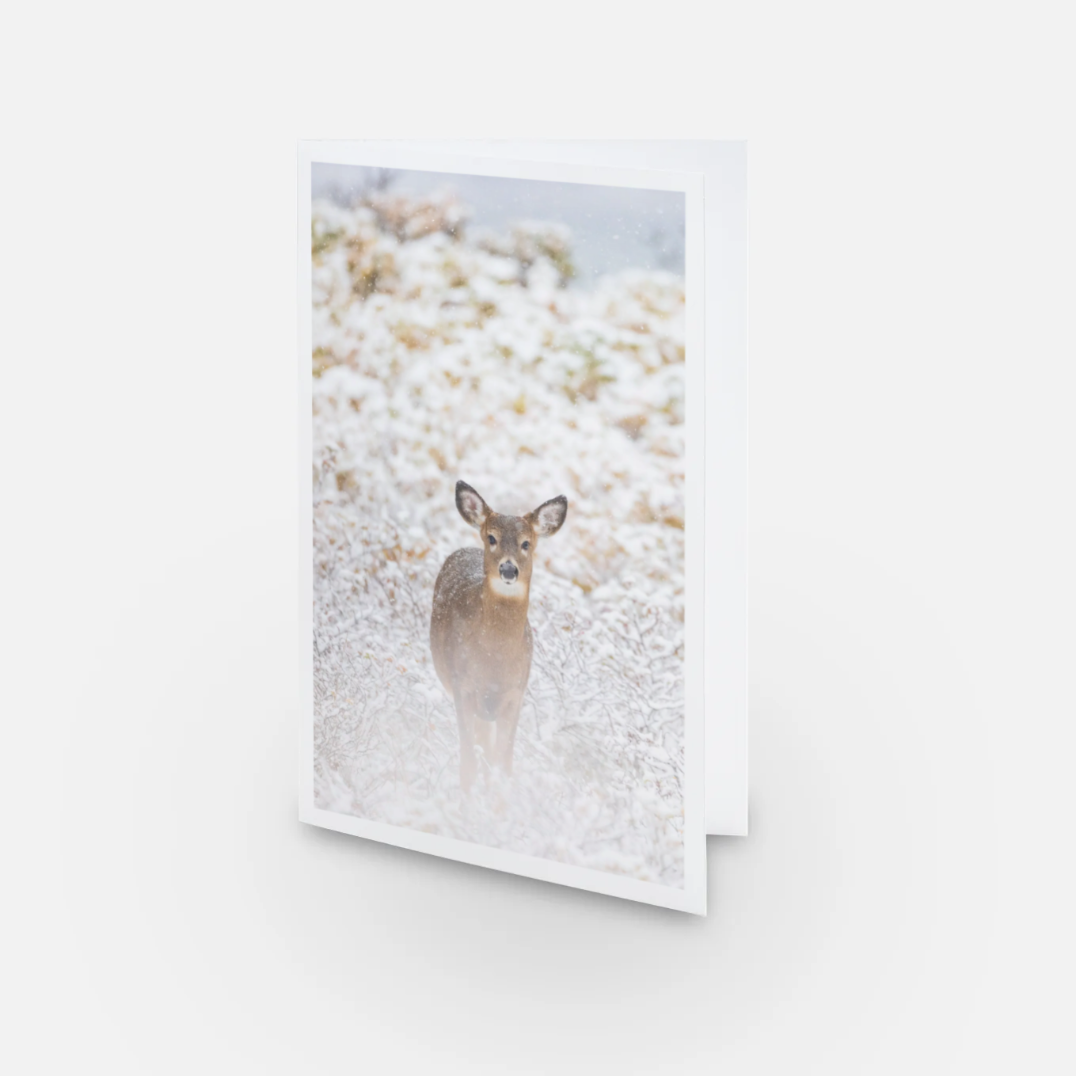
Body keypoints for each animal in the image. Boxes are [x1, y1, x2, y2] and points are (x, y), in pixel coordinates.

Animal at [430, 480, 568, 795]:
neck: (494, 661)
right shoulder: (462, 685)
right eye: (491, 538)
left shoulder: (515, 695)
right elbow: (468, 762)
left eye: (526, 543)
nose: (508, 568)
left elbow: (504, 765)